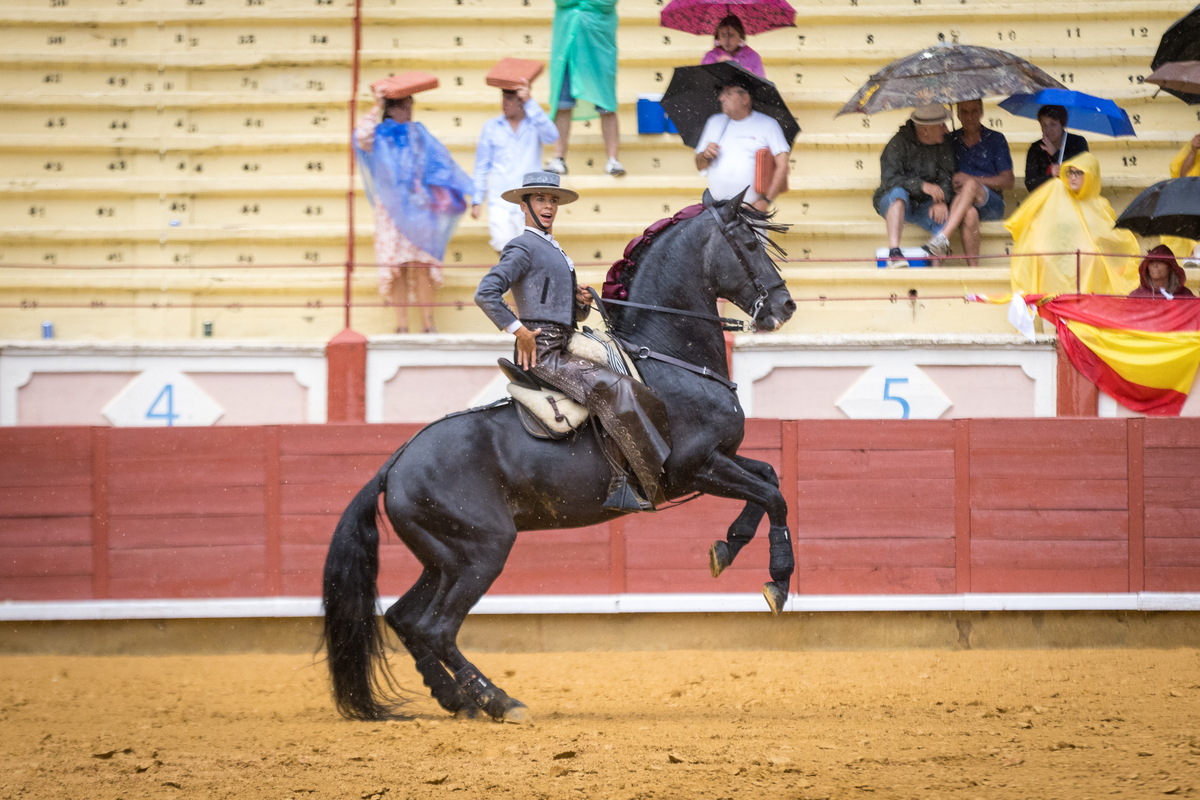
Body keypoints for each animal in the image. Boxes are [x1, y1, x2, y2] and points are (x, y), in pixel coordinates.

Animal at [324, 189, 801, 724]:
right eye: (748, 244)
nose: (784, 305)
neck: (668, 359)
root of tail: (395, 464)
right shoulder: (693, 468)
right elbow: (773, 496)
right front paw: (778, 583)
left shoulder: (720, 462)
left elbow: (770, 479)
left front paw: (727, 547)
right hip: (482, 552)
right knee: (436, 627)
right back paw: (499, 701)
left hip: (442, 558)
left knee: (403, 616)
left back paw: (457, 700)